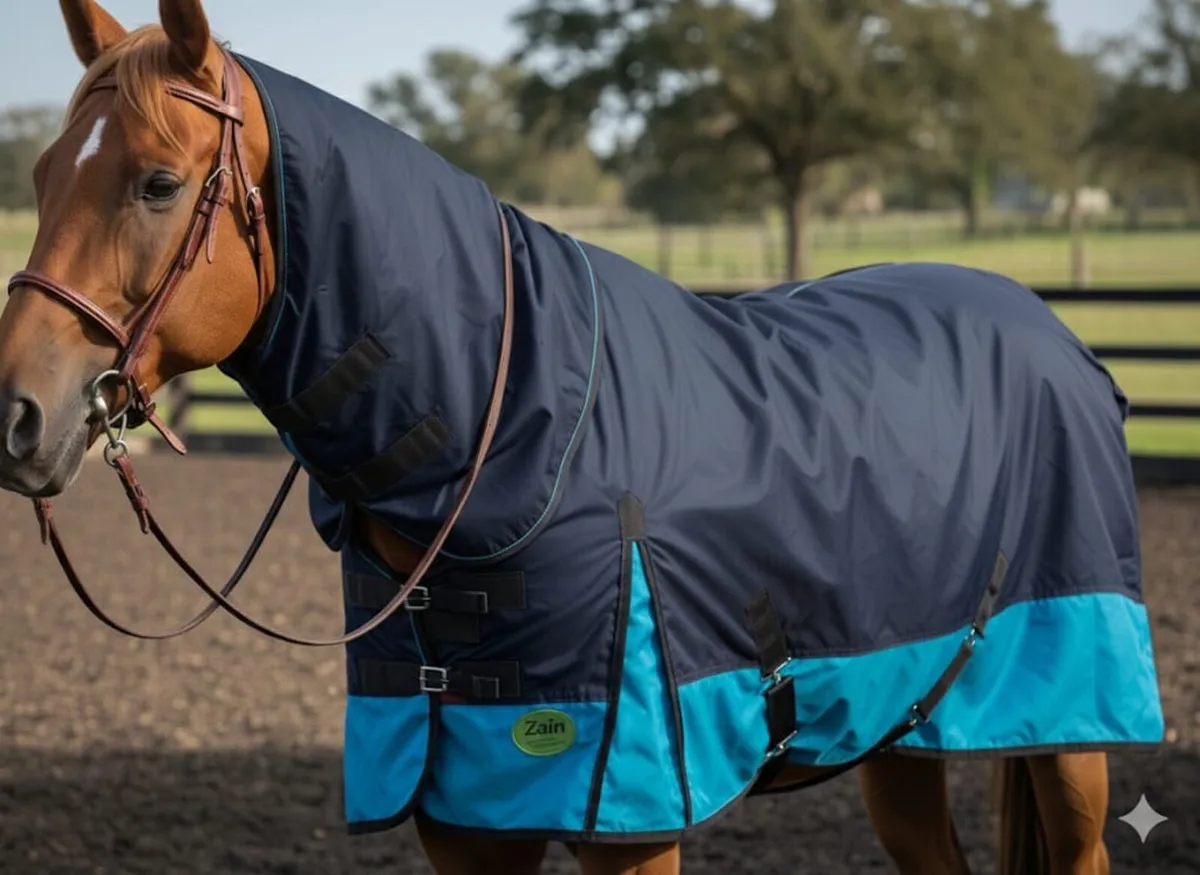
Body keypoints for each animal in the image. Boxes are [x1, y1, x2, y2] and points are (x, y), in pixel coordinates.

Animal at [0, 2, 1164, 873]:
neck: (503, 431)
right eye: (43, 175)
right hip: (902, 728)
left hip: (1070, 735)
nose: (17, 413)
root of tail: (1052, 328)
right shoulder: (467, 814)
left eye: (157, 182)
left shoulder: (626, 816)